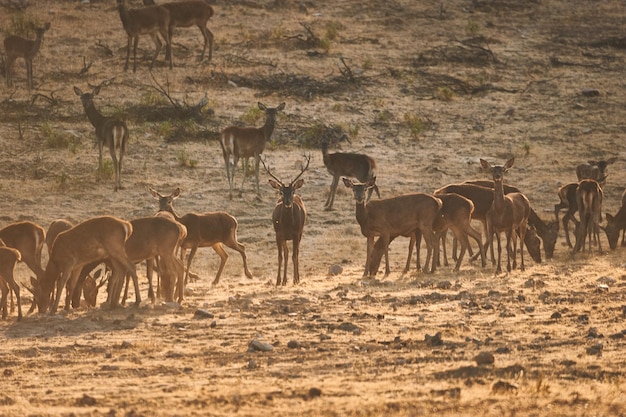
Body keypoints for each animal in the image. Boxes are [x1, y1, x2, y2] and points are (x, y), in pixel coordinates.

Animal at [260, 154, 310, 284]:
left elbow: (294, 255)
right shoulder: (278, 234)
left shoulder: (296, 233)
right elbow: (280, 256)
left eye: (292, 191)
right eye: (281, 191)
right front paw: (278, 281)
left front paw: (295, 279)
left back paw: (296, 278)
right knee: (286, 253)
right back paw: (284, 280)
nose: (287, 202)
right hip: (284, 237)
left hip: (301, 232)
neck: (287, 224)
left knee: (296, 253)